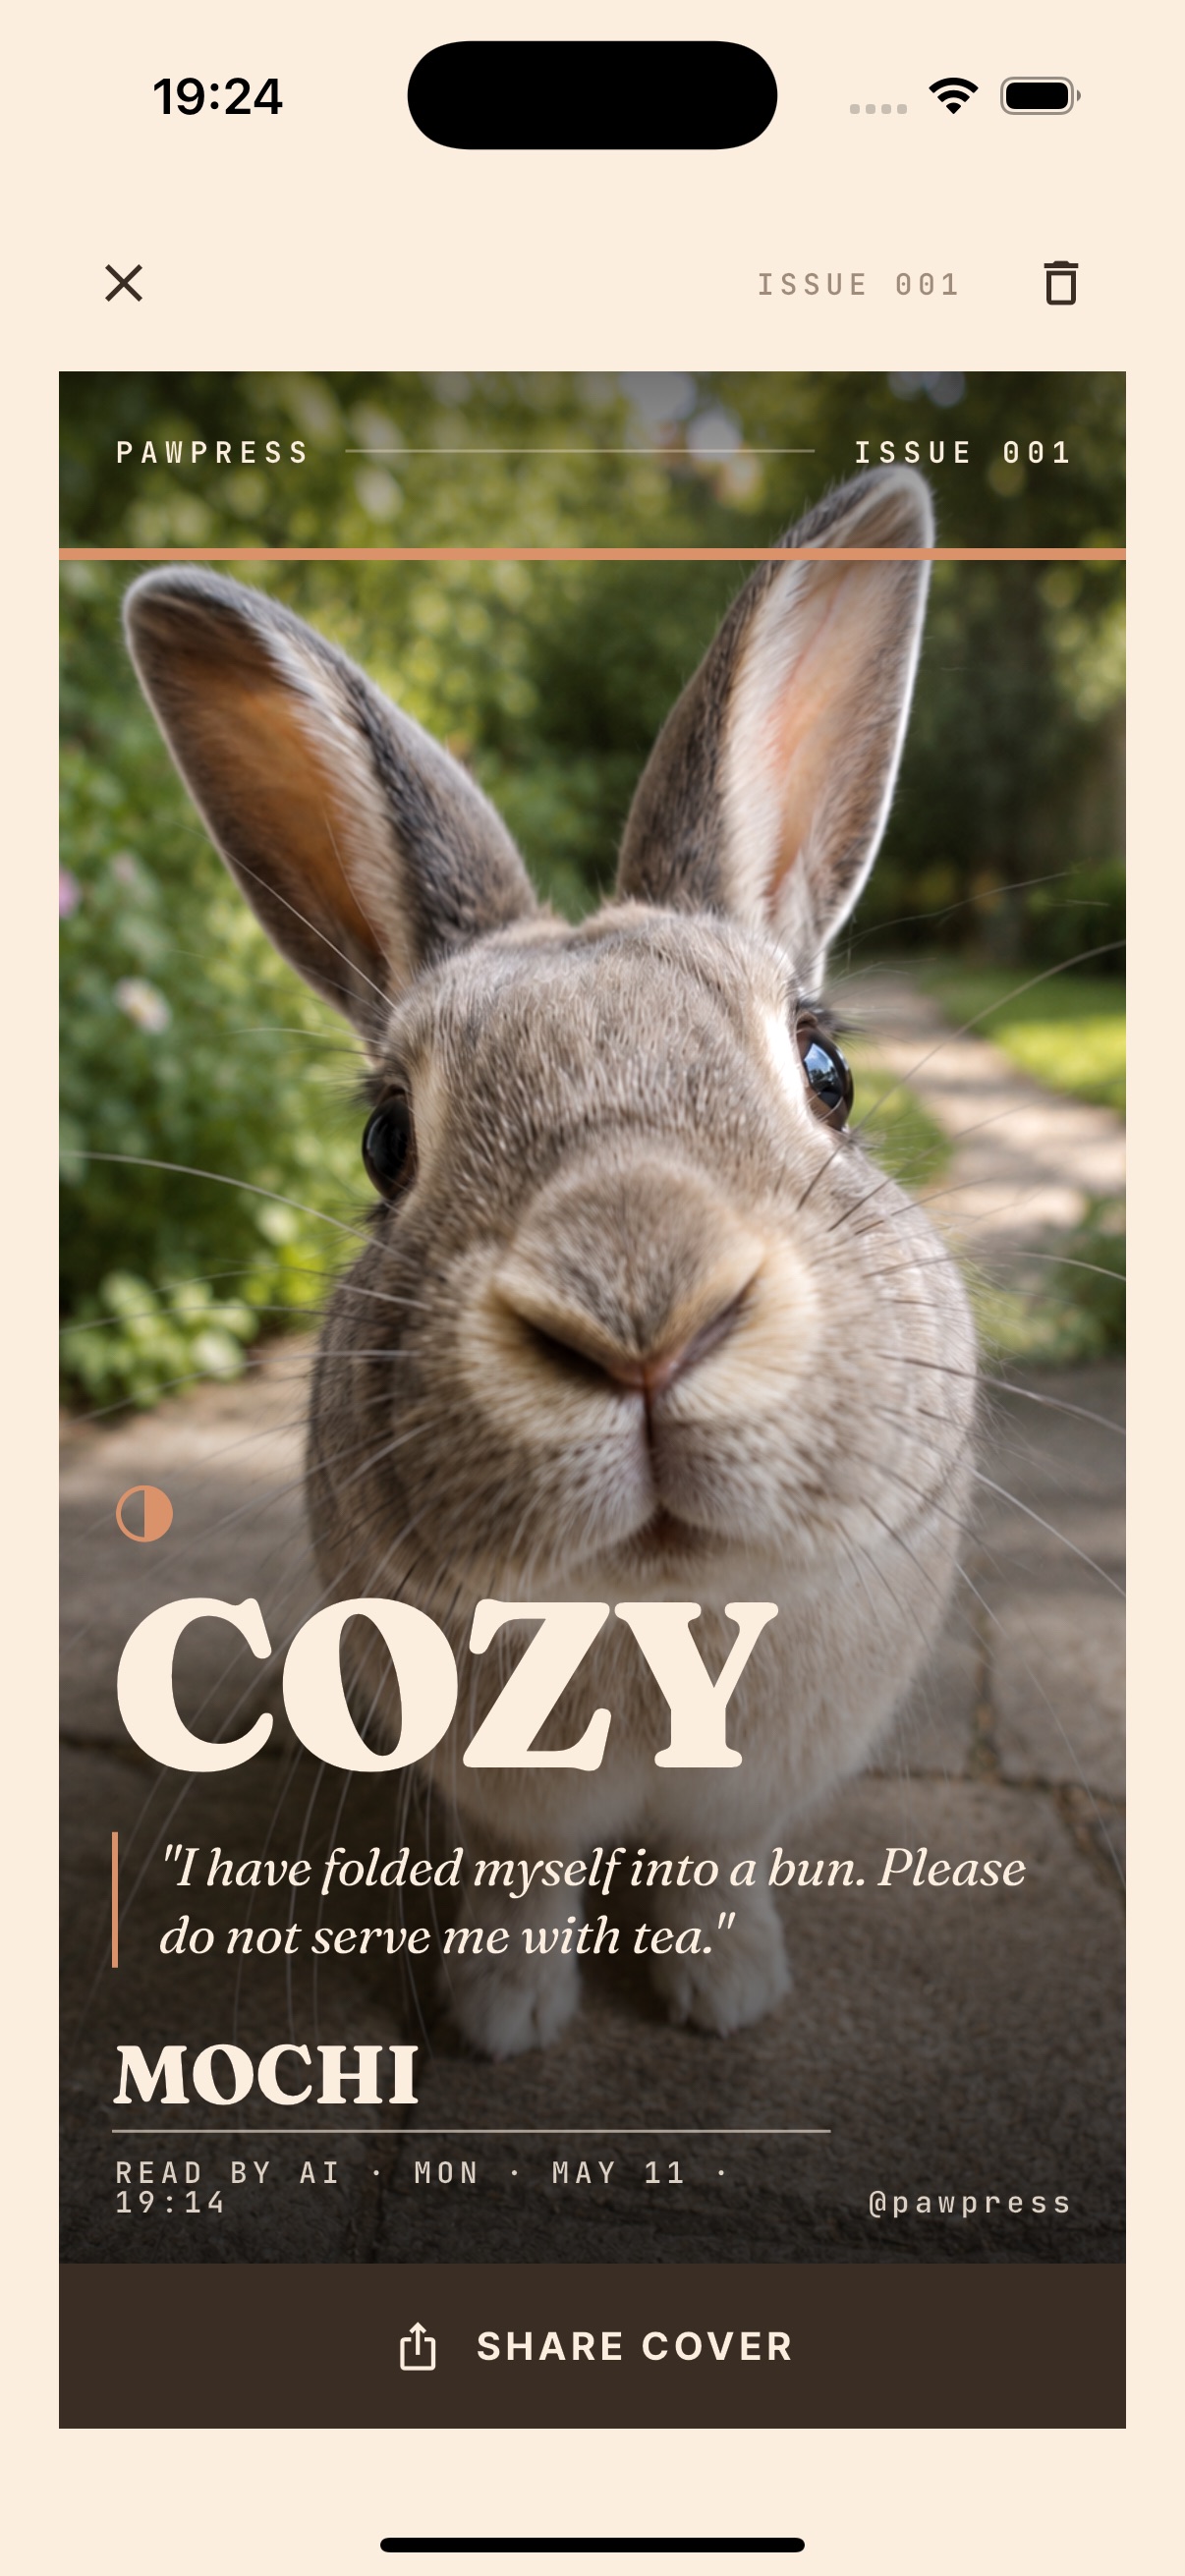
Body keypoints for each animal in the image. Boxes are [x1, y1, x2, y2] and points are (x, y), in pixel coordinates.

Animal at [123, 464, 977, 2060]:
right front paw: (502, 2015)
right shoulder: (502, 1793)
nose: (639, 1318)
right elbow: (522, 1874)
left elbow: (713, 1864)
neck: (659, 1612)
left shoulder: (744, 1796)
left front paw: (727, 1991)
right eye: (386, 1140)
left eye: (826, 1068)